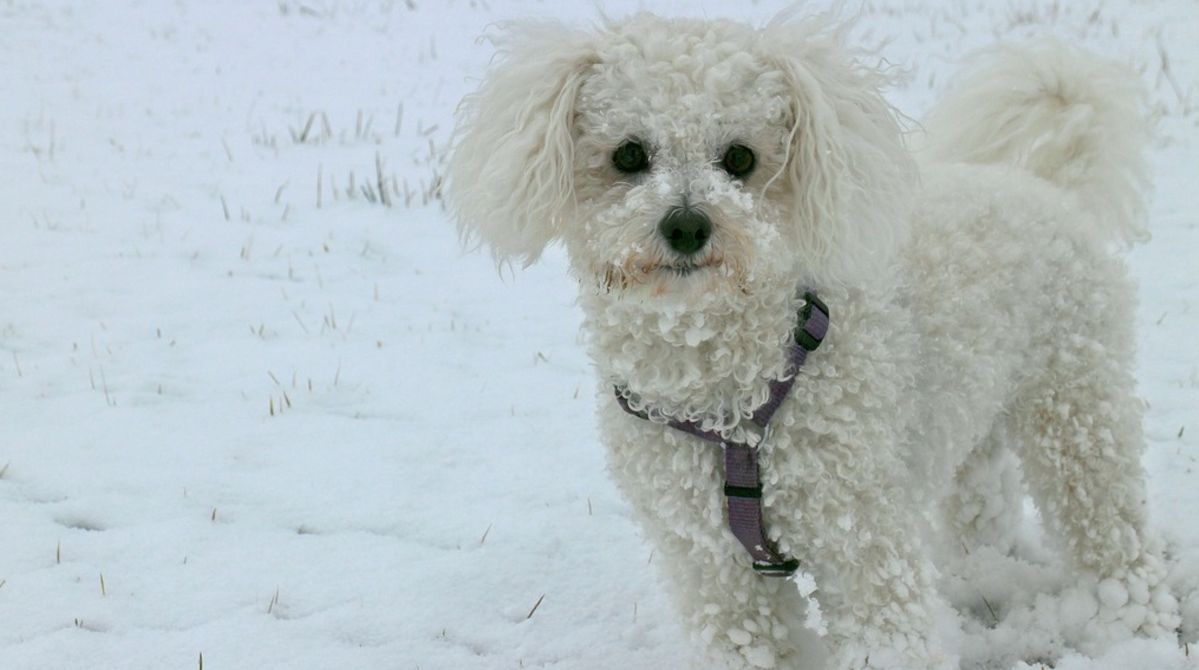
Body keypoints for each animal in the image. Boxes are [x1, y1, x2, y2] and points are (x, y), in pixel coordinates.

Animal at [448, 10, 1179, 670]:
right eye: (628, 154)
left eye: (740, 158)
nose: (687, 226)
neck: (733, 400)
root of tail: (1043, 186)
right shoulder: (712, 565)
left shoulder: (861, 546)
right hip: (971, 412)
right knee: (982, 502)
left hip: (1076, 412)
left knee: (1114, 538)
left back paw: (1134, 631)